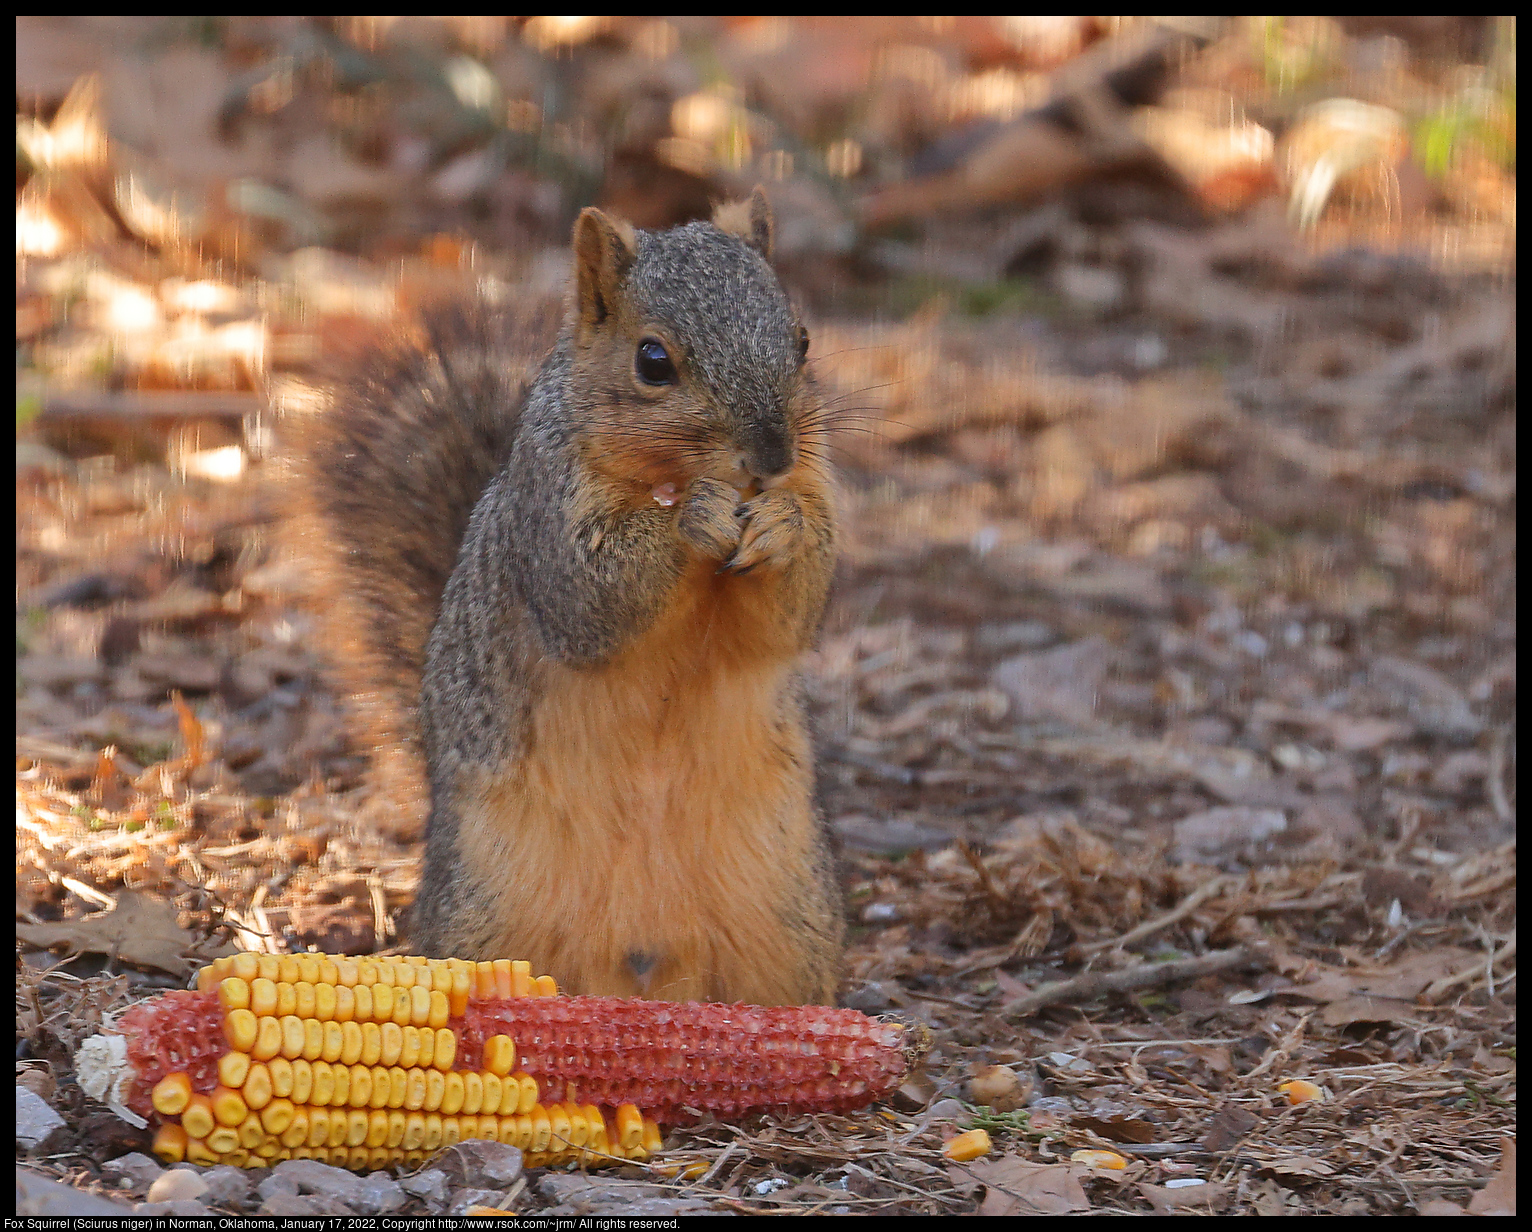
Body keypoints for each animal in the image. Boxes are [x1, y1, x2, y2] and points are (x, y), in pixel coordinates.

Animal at [292, 187, 845, 1005]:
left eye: (803, 341)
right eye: (653, 361)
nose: (772, 457)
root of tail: (634, 966)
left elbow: (789, 618)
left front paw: (784, 527)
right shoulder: (550, 516)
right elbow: (591, 600)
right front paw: (696, 517)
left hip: (786, 918)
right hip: (486, 909)